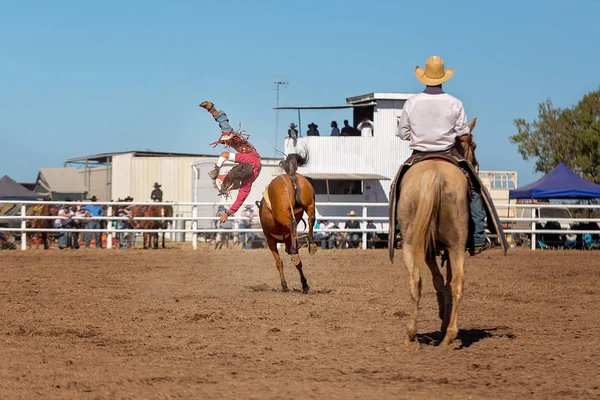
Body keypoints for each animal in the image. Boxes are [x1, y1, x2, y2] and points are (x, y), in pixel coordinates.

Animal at [255, 150, 318, 294]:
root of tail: (291, 176)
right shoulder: (289, 240)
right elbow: (298, 264)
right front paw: (304, 284)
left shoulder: (271, 242)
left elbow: (279, 263)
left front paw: (284, 285)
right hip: (310, 203)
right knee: (311, 218)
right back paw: (311, 244)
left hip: (282, 214)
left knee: (293, 223)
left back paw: (297, 250)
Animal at [398, 118, 478, 346]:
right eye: (474, 146)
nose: (477, 165)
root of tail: (435, 174)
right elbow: (443, 279)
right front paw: (444, 319)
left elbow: (438, 279)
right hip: (455, 245)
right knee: (456, 281)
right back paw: (449, 334)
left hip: (412, 244)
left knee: (416, 280)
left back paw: (412, 334)